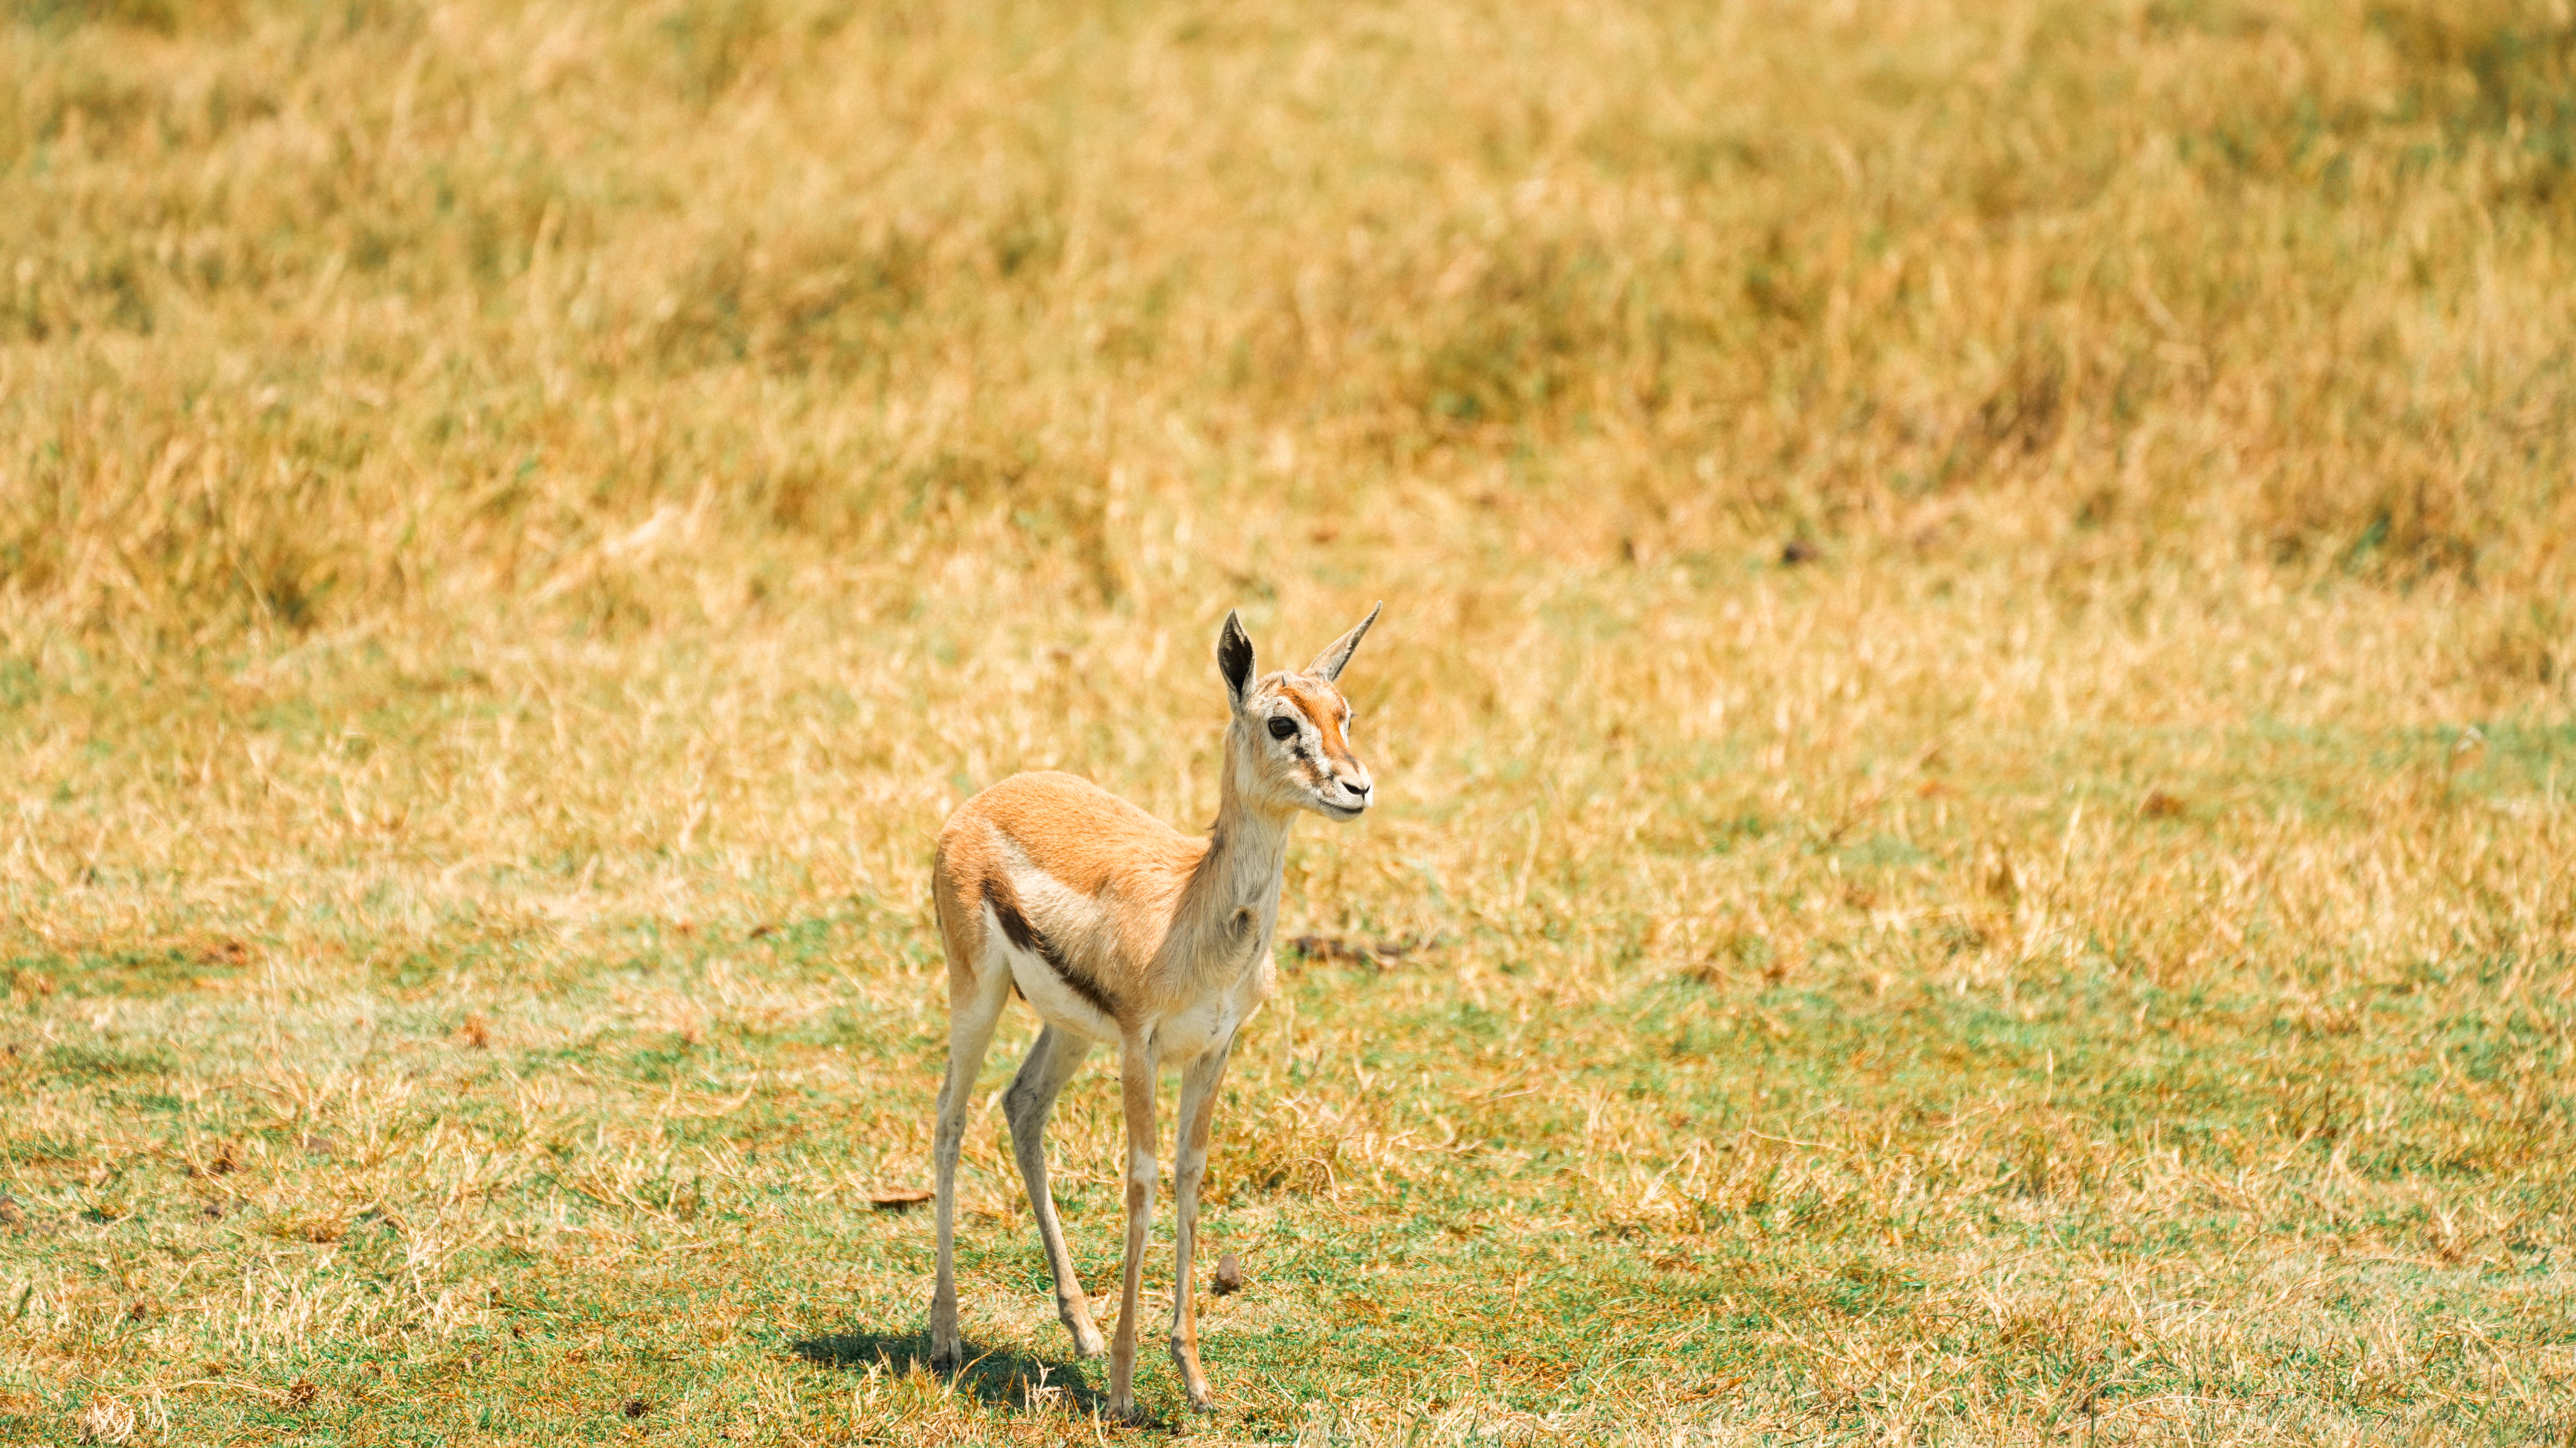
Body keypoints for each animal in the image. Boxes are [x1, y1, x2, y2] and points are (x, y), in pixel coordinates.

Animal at [925, 604, 1382, 1419]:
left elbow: (1188, 1175)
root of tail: (979, 804)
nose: (1357, 788)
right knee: (951, 1117)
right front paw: (1122, 1391)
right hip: (977, 995)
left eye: (1344, 715)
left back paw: (1078, 1328)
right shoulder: (1139, 1046)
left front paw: (1195, 1378)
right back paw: (946, 1335)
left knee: (1022, 1106)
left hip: (1069, 1030)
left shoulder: (1213, 1049)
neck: (1195, 913)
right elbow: (1140, 1180)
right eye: (1281, 723)